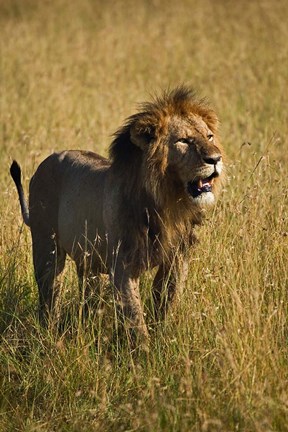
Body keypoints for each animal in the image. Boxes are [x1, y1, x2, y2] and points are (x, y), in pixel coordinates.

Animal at [10, 86, 224, 346]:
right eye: (184, 140)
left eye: (209, 137)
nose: (216, 159)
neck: (167, 203)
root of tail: (45, 162)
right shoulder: (123, 265)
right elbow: (135, 317)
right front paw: (145, 352)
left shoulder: (177, 257)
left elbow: (166, 302)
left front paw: (164, 339)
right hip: (47, 248)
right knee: (49, 296)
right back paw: (50, 337)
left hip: (89, 259)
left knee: (88, 297)